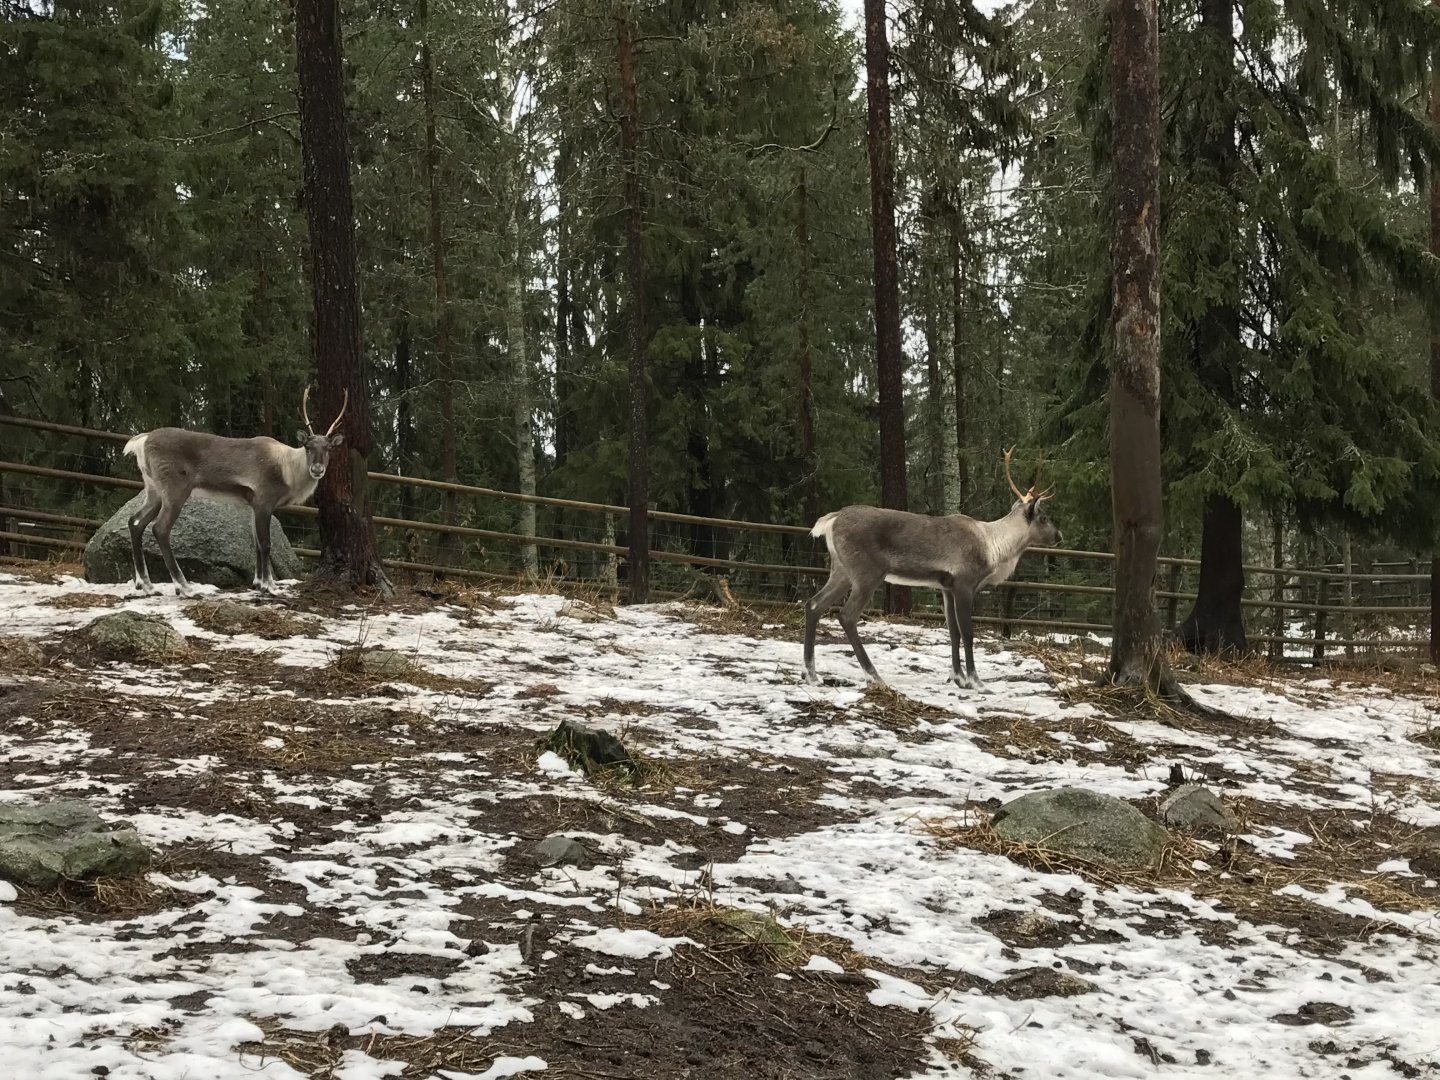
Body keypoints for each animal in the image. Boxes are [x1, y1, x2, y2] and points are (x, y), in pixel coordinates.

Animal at [122, 388, 347, 597]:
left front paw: (257, 583)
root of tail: (142, 441)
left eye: (328, 448)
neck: (289, 471)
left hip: (153, 489)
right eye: (307, 446)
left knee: (135, 522)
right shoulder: (264, 500)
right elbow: (266, 543)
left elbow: (255, 542)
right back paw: (185, 587)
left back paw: (147, 585)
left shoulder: (253, 504)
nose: (317, 469)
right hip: (175, 489)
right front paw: (271, 586)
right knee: (159, 528)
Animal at [803, 450, 1061, 691]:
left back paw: (812, 674)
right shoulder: (964, 584)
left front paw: (957, 677)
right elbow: (968, 633)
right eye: (1044, 518)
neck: (993, 547)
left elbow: (953, 631)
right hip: (867, 573)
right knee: (846, 616)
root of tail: (831, 520)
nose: (1059, 536)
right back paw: (874, 676)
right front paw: (976, 681)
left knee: (813, 604)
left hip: (841, 571)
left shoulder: (946, 587)